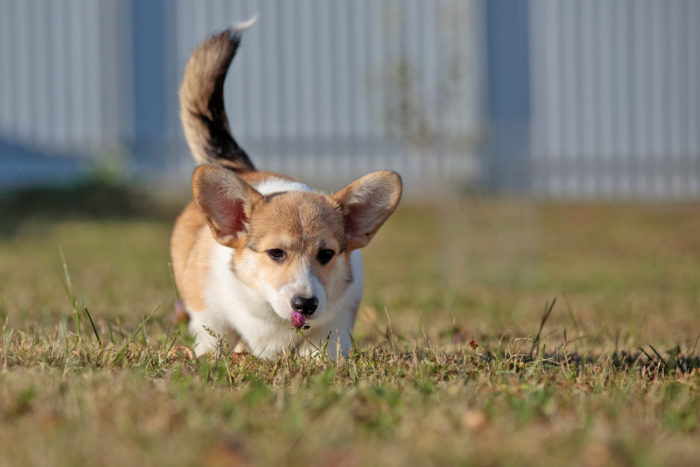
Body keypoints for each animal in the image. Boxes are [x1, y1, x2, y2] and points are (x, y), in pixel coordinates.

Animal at [170, 25, 402, 360]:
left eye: (326, 254)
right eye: (276, 253)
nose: (305, 305)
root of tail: (243, 170)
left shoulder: (335, 326)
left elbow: (322, 350)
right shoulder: (211, 316)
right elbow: (216, 340)